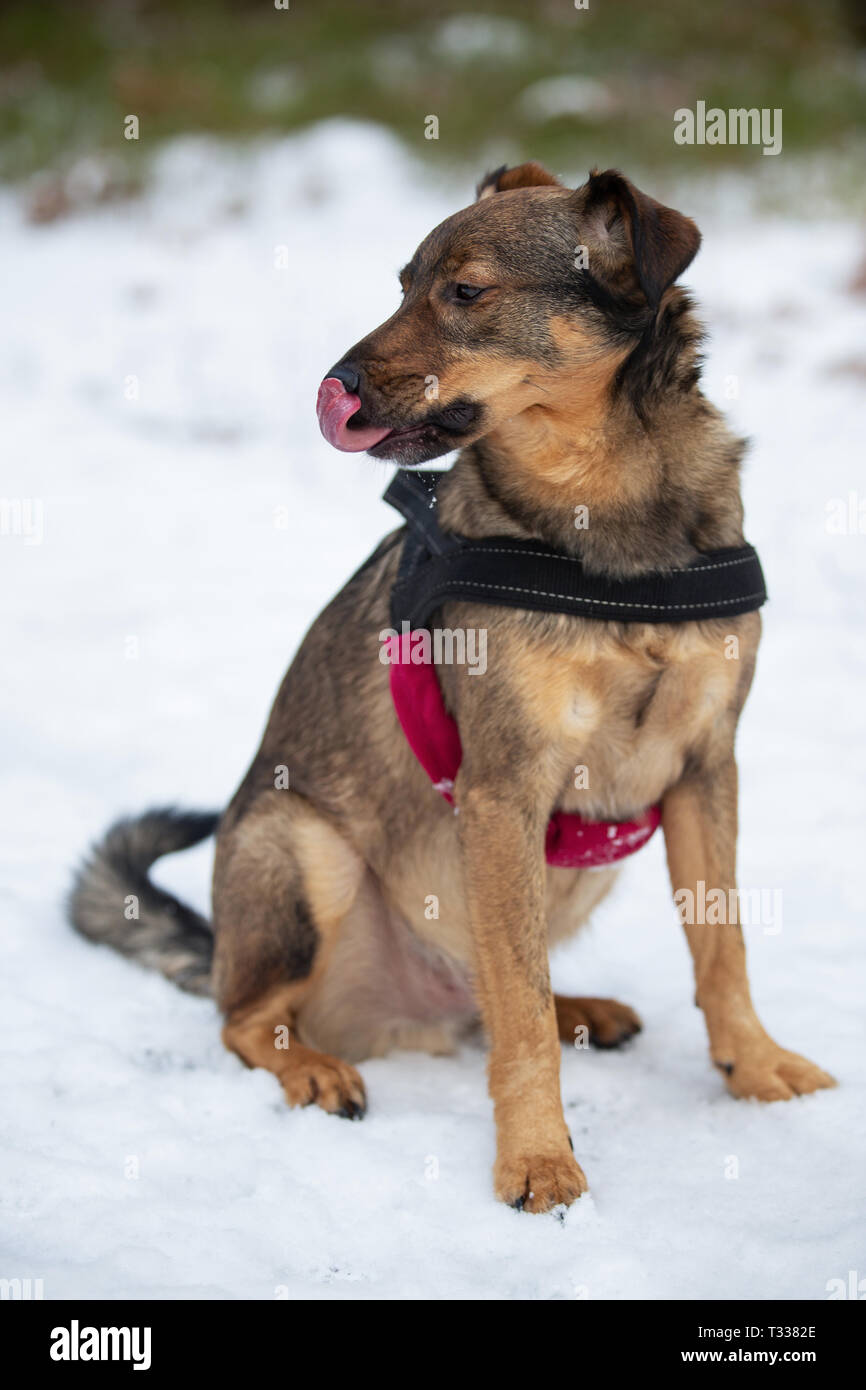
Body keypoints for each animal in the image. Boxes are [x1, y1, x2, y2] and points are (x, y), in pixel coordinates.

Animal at [71, 162, 839, 1212]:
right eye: (400, 286)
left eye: (465, 293)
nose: (335, 385)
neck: (604, 512)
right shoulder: (504, 790)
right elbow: (519, 1013)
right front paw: (538, 1159)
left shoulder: (704, 769)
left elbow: (722, 952)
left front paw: (755, 1068)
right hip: (303, 847)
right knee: (252, 1019)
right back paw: (315, 1066)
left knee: (494, 987)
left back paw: (581, 1008)